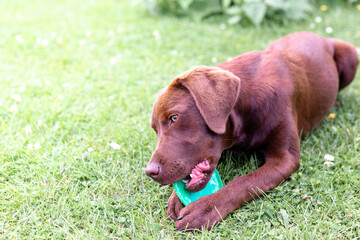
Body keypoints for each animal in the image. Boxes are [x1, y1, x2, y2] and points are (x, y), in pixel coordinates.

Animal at [144, 31, 358, 231]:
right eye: (155, 129)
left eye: (174, 118)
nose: (150, 172)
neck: (245, 108)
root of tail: (315, 34)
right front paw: (175, 198)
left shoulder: (285, 158)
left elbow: (245, 181)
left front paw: (206, 208)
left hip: (351, 56)